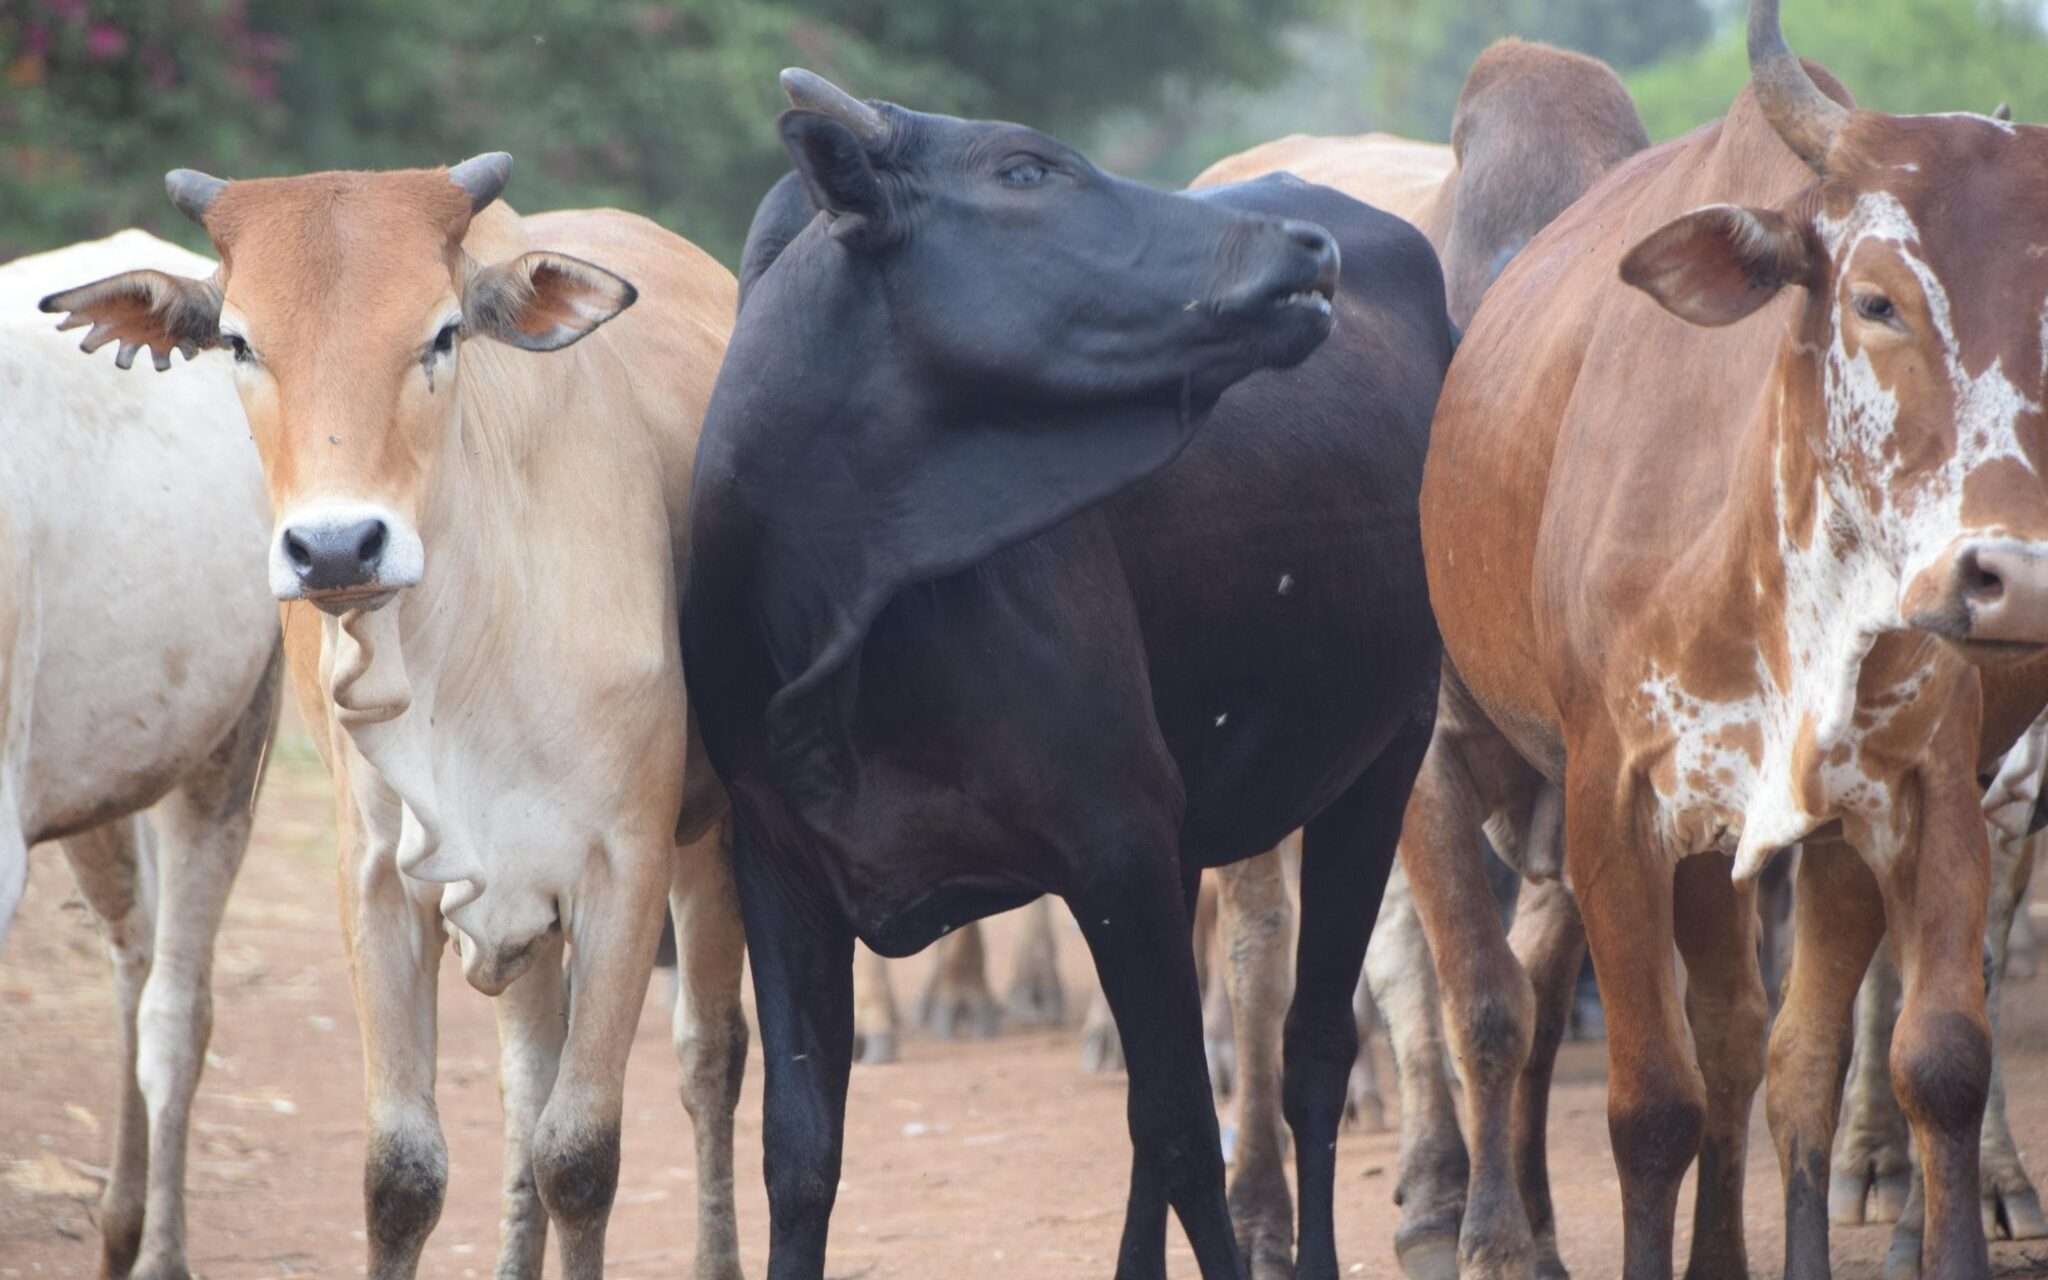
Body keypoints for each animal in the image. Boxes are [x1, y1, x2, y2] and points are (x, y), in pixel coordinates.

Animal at [0, 230, 278, 1280]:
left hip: (227, 750)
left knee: (177, 1008)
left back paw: (158, 1250)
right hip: (99, 788)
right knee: (134, 951)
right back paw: (117, 1225)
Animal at [40, 161, 748, 1280]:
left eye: (444, 332)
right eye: (238, 340)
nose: (337, 548)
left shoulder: (624, 867)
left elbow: (584, 1154)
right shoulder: (379, 879)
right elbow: (404, 1172)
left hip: (705, 844)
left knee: (706, 1059)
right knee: (525, 1085)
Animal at [684, 69, 1450, 1280]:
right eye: (1025, 171)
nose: (1305, 246)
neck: (846, 617)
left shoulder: (1115, 841)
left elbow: (1186, 1131)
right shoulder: (779, 860)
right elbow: (799, 1152)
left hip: (1384, 754)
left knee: (1312, 1054)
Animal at [1187, 39, 1649, 1279]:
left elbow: (1536, 998)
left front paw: (1526, 1219)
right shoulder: (1427, 761)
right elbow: (1482, 1000)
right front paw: (1495, 1235)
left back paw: (1429, 1185)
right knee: (1260, 954)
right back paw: (1260, 1206)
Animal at [1411, 0, 2048, 1275]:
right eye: (1873, 300)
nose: (2008, 580)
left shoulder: (1925, 790)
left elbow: (1935, 1060)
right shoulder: (1606, 801)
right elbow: (1637, 1094)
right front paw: (1499, 1233)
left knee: (1783, 1049)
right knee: (1613, 1024)